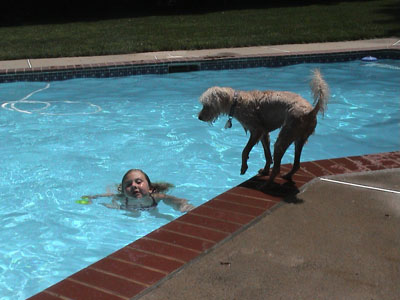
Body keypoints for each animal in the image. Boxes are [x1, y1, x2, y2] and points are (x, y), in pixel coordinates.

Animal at [198, 69, 330, 184]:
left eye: (206, 105)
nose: (199, 117)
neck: (236, 102)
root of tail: (311, 111)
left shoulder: (257, 130)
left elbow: (244, 151)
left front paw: (244, 167)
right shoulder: (264, 133)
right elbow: (267, 155)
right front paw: (265, 170)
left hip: (284, 138)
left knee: (277, 168)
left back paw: (267, 184)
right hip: (299, 139)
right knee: (296, 164)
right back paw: (287, 176)